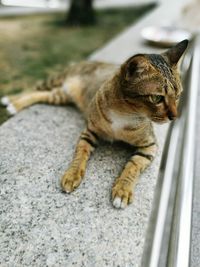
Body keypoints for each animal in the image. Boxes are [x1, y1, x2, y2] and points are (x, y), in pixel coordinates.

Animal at [0, 39, 188, 209]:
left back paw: (14, 103)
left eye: (178, 95)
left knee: (43, 94)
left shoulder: (150, 146)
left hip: (60, 96)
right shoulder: (90, 131)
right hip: (57, 79)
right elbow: (81, 153)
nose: (175, 117)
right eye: (156, 98)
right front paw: (73, 174)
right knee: (35, 88)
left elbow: (133, 166)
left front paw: (122, 190)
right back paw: (10, 100)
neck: (125, 114)